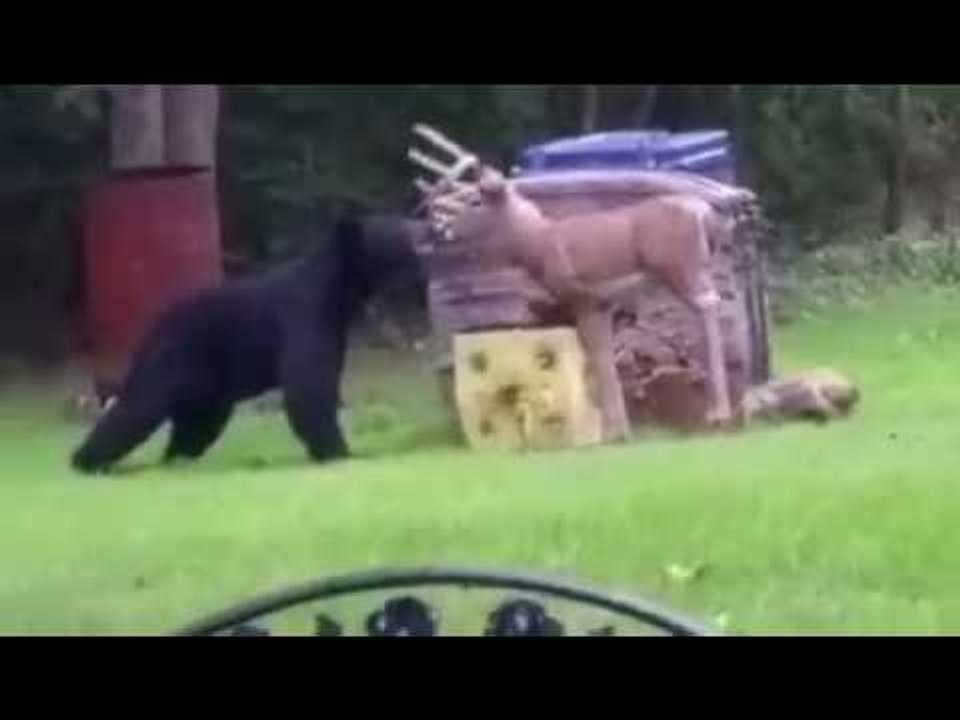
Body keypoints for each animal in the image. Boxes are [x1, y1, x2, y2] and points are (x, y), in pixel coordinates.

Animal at [70, 205, 427, 474]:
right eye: (404, 231)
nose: (424, 226)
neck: (338, 294)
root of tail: (155, 323)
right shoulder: (304, 317)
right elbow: (307, 390)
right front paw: (340, 452)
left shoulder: (332, 330)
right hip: (172, 359)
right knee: (137, 407)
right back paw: (86, 461)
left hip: (208, 389)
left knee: (195, 426)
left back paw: (178, 461)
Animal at [408, 124, 735, 443]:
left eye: (476, 200)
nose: (440, 230)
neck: (538, 243)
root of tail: (705, 214)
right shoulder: (604, 304)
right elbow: (601, 356)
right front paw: (617, 429)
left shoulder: (583, 296)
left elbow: (598, 356)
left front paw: (612, 434)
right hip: (693, 269)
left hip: (680, 267)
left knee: (709, 305)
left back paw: (719, 414)